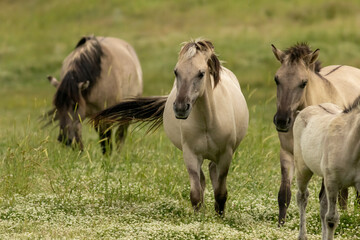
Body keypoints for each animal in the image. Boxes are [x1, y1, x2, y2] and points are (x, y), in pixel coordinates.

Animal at [91, 39, 249, 216]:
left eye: (201, 73)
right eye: (176, 72)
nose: (180, 108)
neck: (208, 121)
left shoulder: (225, 155)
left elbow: (221, 193)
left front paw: (219, 216)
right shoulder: (190, 155)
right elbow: (196, 194)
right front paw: (198, 217)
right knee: (203, 179)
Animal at [294, 98, 360, 239]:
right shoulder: (332, 182)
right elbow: (331, 219)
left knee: (323, 204)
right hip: (303, 170)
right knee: (302, 197)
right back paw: (302, 236)